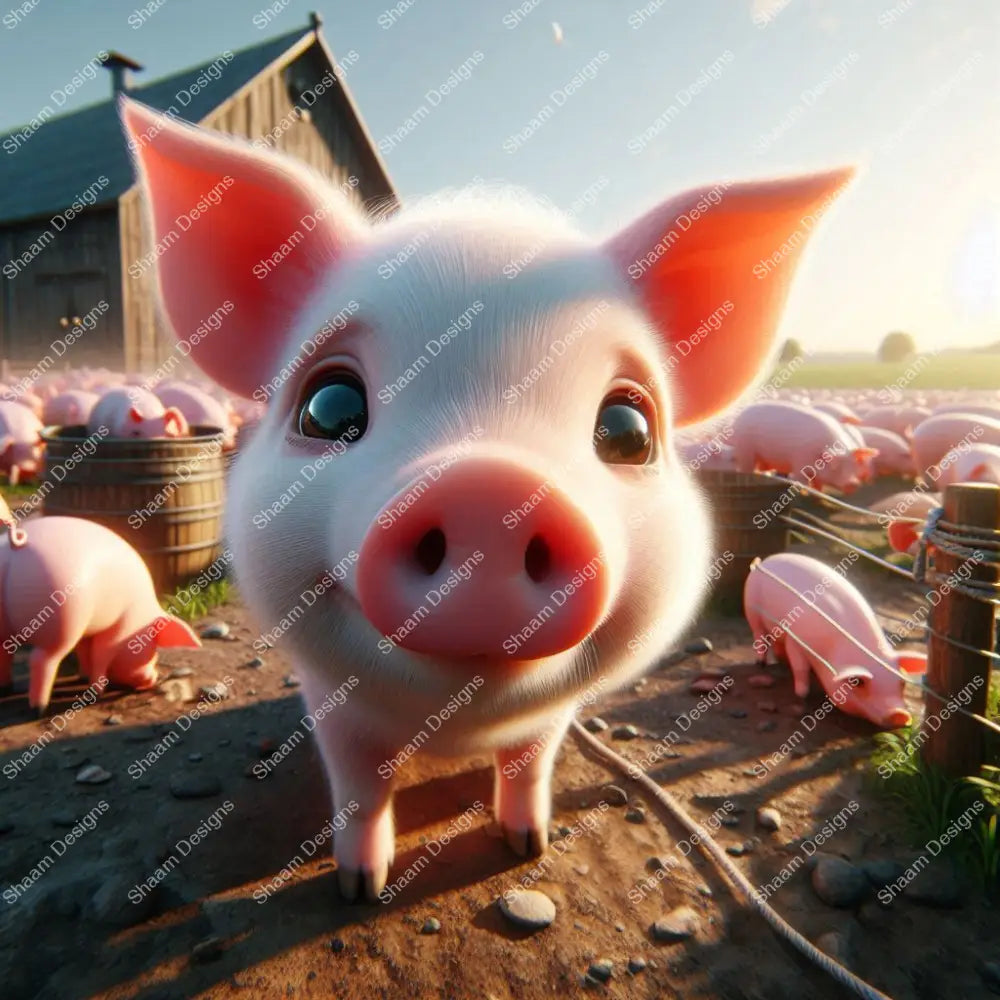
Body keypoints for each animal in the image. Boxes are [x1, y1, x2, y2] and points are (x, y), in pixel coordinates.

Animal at [0, 514, 201, 710]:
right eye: (153, 651)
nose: (153, 679)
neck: (141, 618)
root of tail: (17, 546)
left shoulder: (87, 631)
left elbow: (84, 651)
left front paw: (83, 677)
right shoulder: (121, 628)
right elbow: (101, 653)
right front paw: (95, 693)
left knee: (5, 651)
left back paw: (6, 688)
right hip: (60, 620)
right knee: (40, 659)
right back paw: (39, 708)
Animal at [121, 95, 853, 900]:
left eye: (628, 429)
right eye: (328, 407)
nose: (488, 486)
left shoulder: (549, 719)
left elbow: (528, 769)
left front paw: (527, 847)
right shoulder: (337, 711)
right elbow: (361, 792)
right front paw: (360, 887)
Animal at [731, 401, 877, 492]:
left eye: (853, 464)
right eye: (835, 466)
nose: (853, 484)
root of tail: (740, 416)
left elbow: (818, 484)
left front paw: (819, 493)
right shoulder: (800, 462)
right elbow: (802, 481)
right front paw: (805, 492)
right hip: (744, 448)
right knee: (745, 468)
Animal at [744, 553, 925, 728]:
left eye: (902, 682)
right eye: (857, 682)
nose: (899, 715)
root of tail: (764, 561)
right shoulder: (796, 641)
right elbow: (800, 668)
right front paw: (802, 694)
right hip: (751, 608)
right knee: (759, 635)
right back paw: (761, 663)